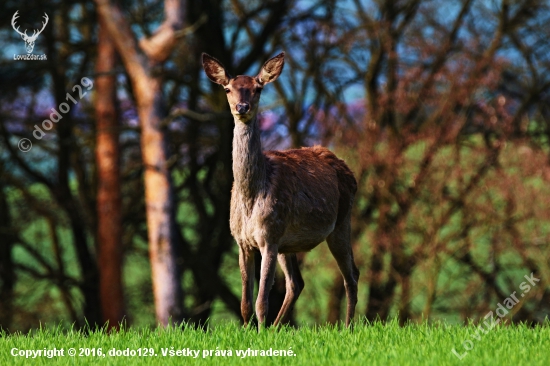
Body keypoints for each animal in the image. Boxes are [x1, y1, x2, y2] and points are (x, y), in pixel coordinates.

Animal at [203, 51, 362, 328]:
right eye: (227, 88)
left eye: (257, 88)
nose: (242, 107)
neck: (251, 197)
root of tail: (346, 168)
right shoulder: (241, 241)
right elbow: (245, 304)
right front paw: (248, 332)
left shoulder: (270, 236)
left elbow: (261, 302)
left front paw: (260, 332)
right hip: (289, 242)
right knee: (297, 282)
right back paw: (278, 328)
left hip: (341, 222)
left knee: (352, 274)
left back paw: (348, 327)